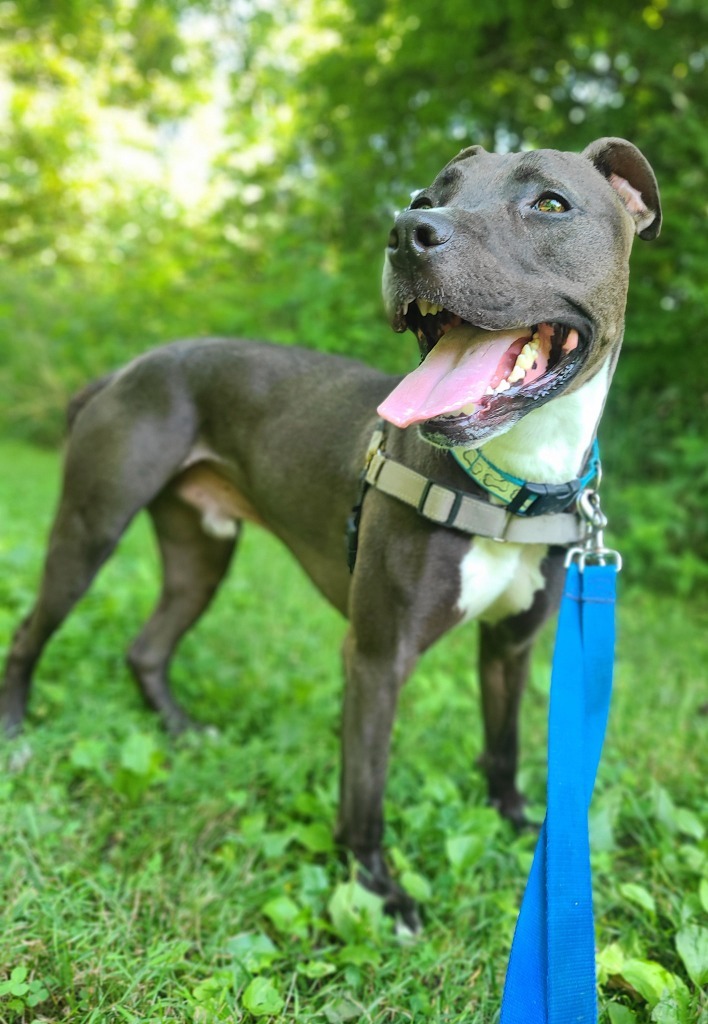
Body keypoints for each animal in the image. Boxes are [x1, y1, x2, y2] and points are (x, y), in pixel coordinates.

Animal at [2, 136, 663, 929]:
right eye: (427, 195)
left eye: (550, 204)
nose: (408, 231)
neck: (510, 481)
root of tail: (125, 368)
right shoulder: (378, 656)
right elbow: (365, 790)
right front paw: (379, 890)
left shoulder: (512, 645)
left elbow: (502, 745)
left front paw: (516, 821)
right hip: (90, 530)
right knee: (30, 630)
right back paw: (15, 735)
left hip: (201, 554)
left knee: (147, 647)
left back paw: (184, 732)